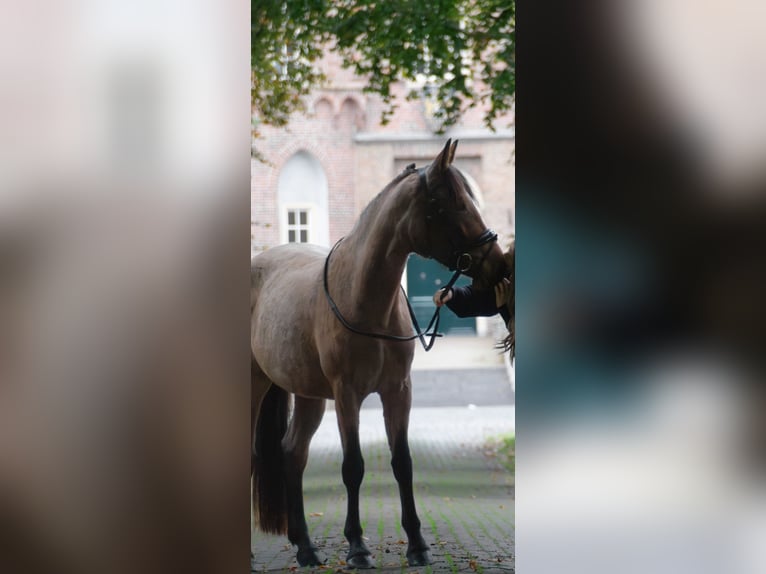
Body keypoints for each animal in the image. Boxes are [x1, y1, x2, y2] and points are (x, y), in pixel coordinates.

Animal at [251, 140, 507, 569]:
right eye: (452, 202)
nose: (498, 261)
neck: (365, 299)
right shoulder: (346, 395)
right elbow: (353, 466)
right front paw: (357, 547)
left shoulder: (398, 391)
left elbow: (402, 462)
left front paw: (418, 545)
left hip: (308, 395)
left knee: (293, 453)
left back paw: (306, 547)